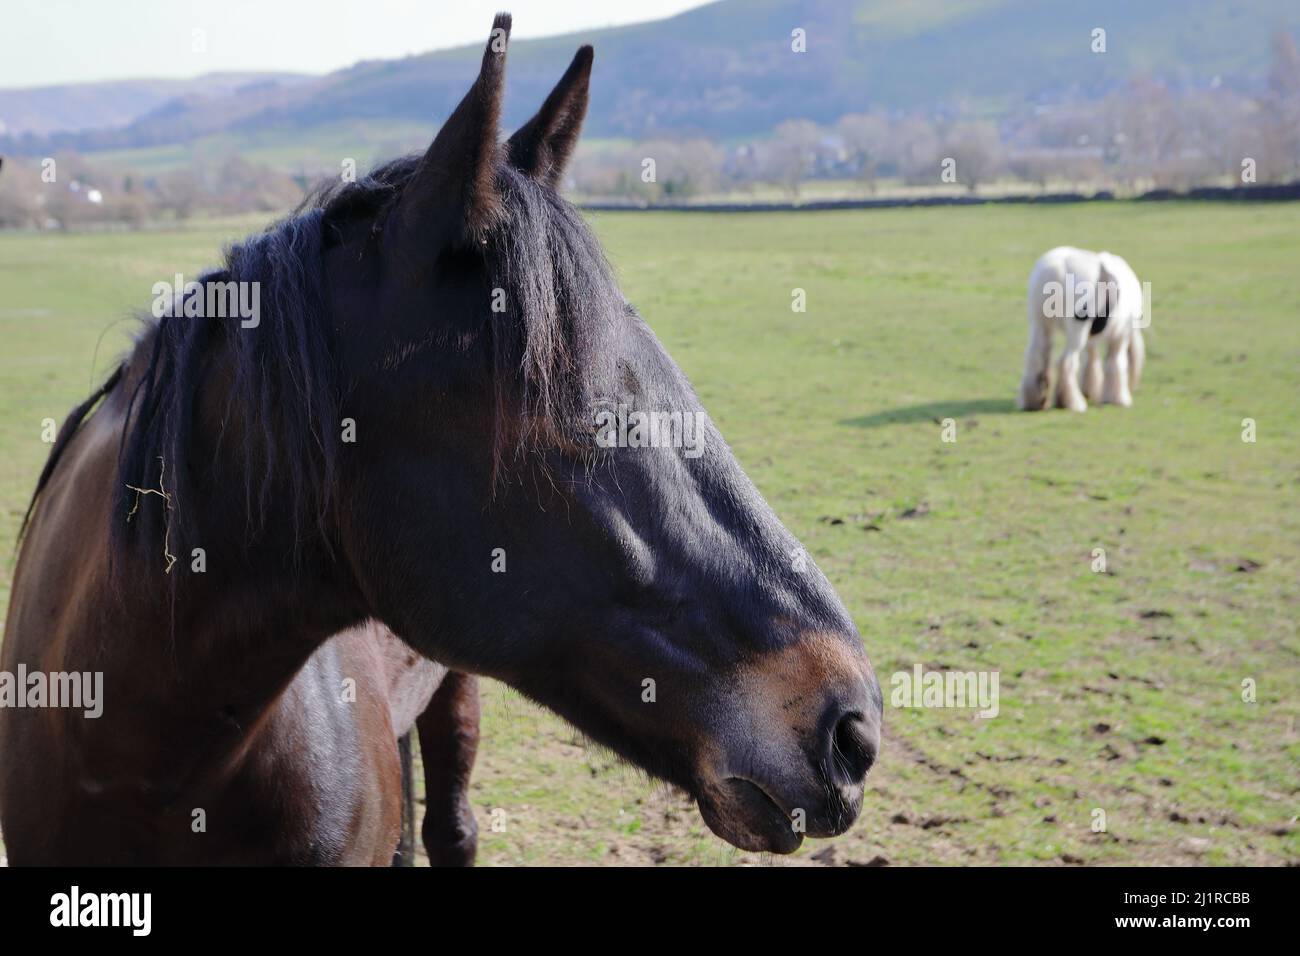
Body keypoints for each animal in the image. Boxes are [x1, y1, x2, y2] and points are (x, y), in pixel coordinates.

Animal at [1017, 246, 1145, 412]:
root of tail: (1055, 269)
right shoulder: (1120, 336)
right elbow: (1116, 362)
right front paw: (1117, 399)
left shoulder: (1093, 337)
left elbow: (1091, 360)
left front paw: (1090, 391)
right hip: (1077, 330)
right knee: (1066, 361)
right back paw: (1071, 402)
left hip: (1040, 325)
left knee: (1035, 357)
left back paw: (1033, 401)